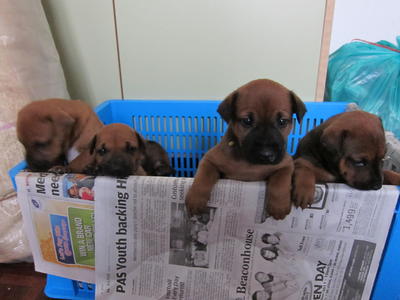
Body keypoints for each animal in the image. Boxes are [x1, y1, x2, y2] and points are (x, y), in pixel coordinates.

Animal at [184, 79, 306, 220]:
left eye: (282, 121)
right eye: (247, 121)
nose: (266, 154)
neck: (248, 163)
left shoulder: (286, 164)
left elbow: (280, 181)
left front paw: (279, 206)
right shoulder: (209, 159)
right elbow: (203, 176)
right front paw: (195, 198)